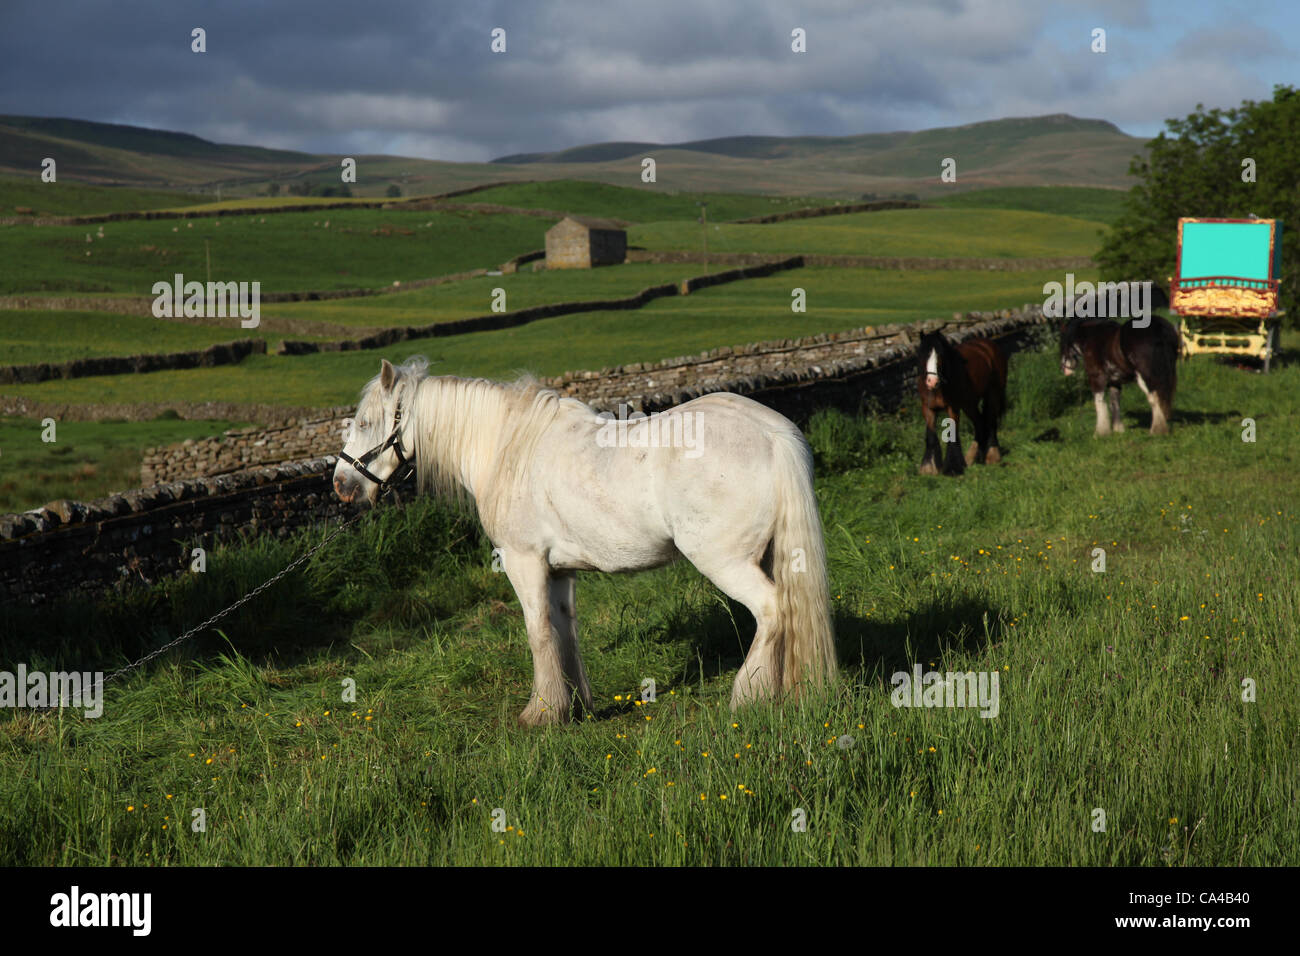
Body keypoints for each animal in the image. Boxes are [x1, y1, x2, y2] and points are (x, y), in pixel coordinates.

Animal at [335, 358, 837, 723]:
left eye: (365, 422)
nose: (341, 485)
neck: (510, 447)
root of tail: (772, 433)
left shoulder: (524, 563)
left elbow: (537, 633)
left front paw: (540, 714)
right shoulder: (560, 572)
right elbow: (564, 633)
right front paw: (574, 708)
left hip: (725, 561)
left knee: (772, 611)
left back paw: (747, 696)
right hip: (771, 556)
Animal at [915, 332, 1003, 478]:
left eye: (941, 354)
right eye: (922, 354)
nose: (932, 381)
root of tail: (988, 345)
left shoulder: (953, 408)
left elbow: (951, 433)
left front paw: (953, 468)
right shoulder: (928, 409)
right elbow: (931, 435)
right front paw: (929, 468)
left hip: (993, 394)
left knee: (990, 421)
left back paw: (992, 455)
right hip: (969, 404)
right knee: (979, 423)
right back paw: (971, 457)